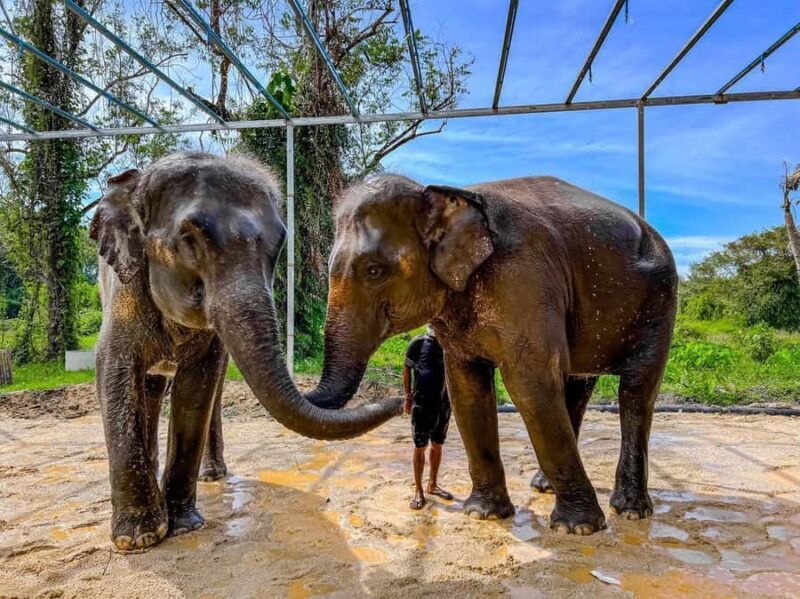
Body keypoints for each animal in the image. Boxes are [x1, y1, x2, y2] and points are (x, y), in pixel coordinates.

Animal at [91, 152, 401, 551]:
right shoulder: (124, 291)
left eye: (279, 244)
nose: (403, 399)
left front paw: (184, 527)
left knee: (194, 388)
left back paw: (212, 475)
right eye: (189, 238)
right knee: (149, 386)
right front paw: (140, 539)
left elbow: (199, 385)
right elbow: (112, 368)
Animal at [305, 174, 678, 535]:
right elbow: (466, 389)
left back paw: (630, 510)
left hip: (660, 302)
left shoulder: (525, 280)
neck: (444, 193)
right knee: (577, 385)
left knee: (636, 390)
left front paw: (578, 528)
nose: (403, 403)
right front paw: (483, 514)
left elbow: (530, 385)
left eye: (374, 271)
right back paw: (543, 486)